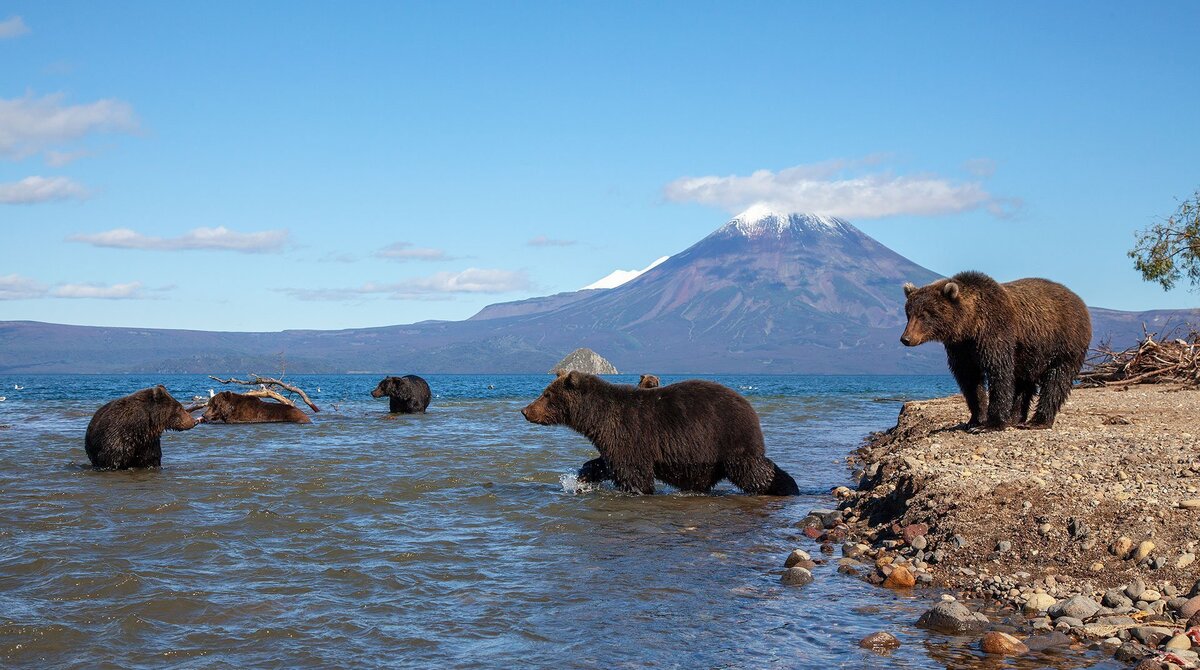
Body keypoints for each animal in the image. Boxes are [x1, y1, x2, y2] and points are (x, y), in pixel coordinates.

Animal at [523, 372, 796, 499]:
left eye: (546, 394)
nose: (526, 410)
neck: (597, 418)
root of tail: (749, 407)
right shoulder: (615, 441)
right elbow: (605, 463)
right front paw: (581, 479)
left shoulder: (630, 433)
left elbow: (634, 474)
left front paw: (637, 490)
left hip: (729, 439)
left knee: (754, 470)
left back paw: (786, 486)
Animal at [902, 271, 1094, 432]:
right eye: (908, 313)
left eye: (925, 314)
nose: (906, 339)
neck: (970, 324)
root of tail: (1079, 301)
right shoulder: (961, 348)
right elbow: (969, 379)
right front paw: (975, 419)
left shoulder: (996, 332)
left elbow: (999, 372)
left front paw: (990, 424)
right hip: (1030, 353)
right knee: (1024, 382)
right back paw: (1015, 418)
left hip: (1064, 343)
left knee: (1056, 379)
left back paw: (1037, 421)